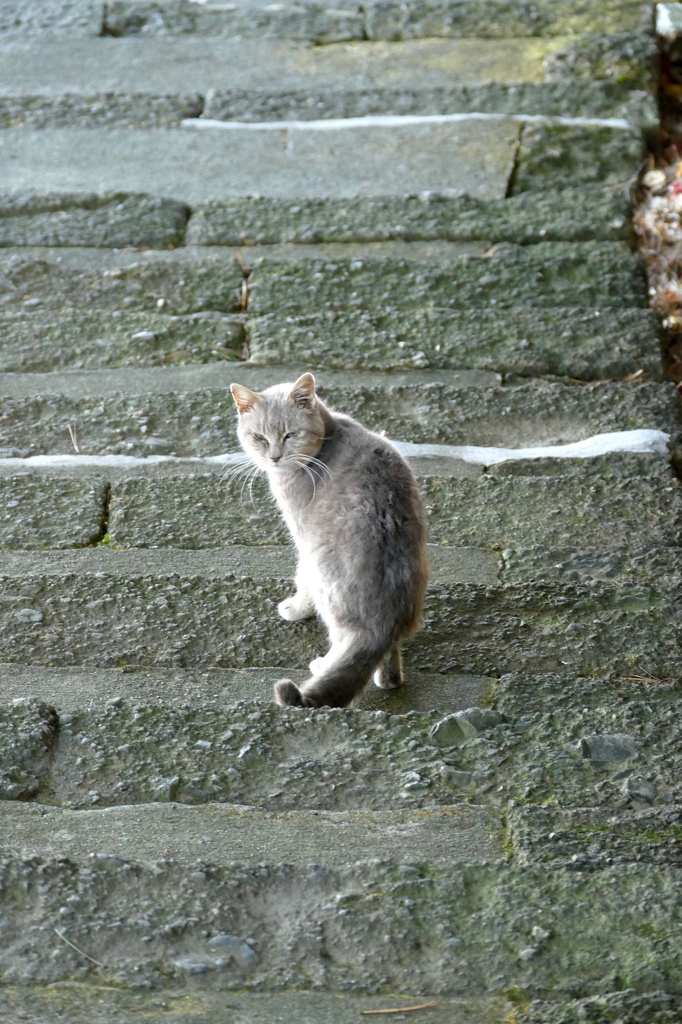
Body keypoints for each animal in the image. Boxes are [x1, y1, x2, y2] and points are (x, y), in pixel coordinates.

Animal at [231, 372, 428, 708]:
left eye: (290, 435)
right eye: (259, 437)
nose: (274, 457)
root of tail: (381, 626)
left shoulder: (302, 536)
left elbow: (301, 578)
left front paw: (295, 608)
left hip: (326, 576)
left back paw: (323, 665)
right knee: (389, 671)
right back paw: (386, 677)